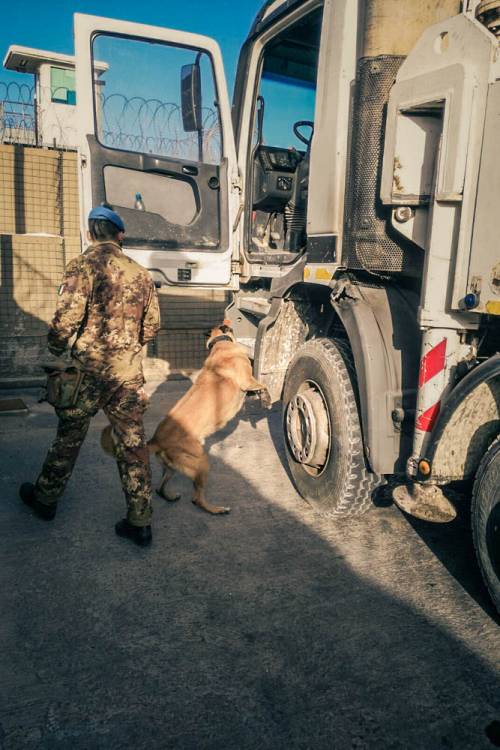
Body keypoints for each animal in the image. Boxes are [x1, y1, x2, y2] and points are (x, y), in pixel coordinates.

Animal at [100, 324, 270, 516]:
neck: (220, 345)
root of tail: (157, 440)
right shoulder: (247, 381)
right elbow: (263, 386)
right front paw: (266, 399)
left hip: (172, 467)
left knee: (160, 488)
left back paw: (170, 496)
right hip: (202, 463)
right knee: (196, 498)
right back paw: (216, 509)